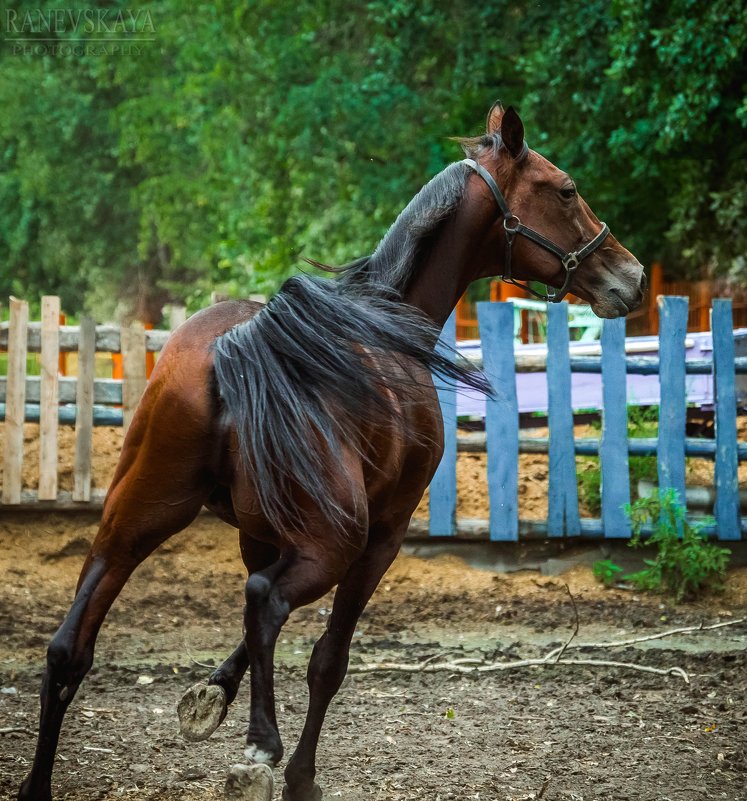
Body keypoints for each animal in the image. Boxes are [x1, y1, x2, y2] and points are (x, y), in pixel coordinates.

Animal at [19, 104, 648, 800]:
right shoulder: (383, 537)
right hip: (334, 541)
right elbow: (327, 657)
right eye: (565, 189)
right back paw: (263, 747)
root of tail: (232, 351)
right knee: (267, 603)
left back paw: (39, 783)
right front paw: (295, 771)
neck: (390, 320)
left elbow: (249, 633)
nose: (632, 277)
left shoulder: (259, 534)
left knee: (70, 647)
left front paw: (211, 694)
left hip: (131, 523)